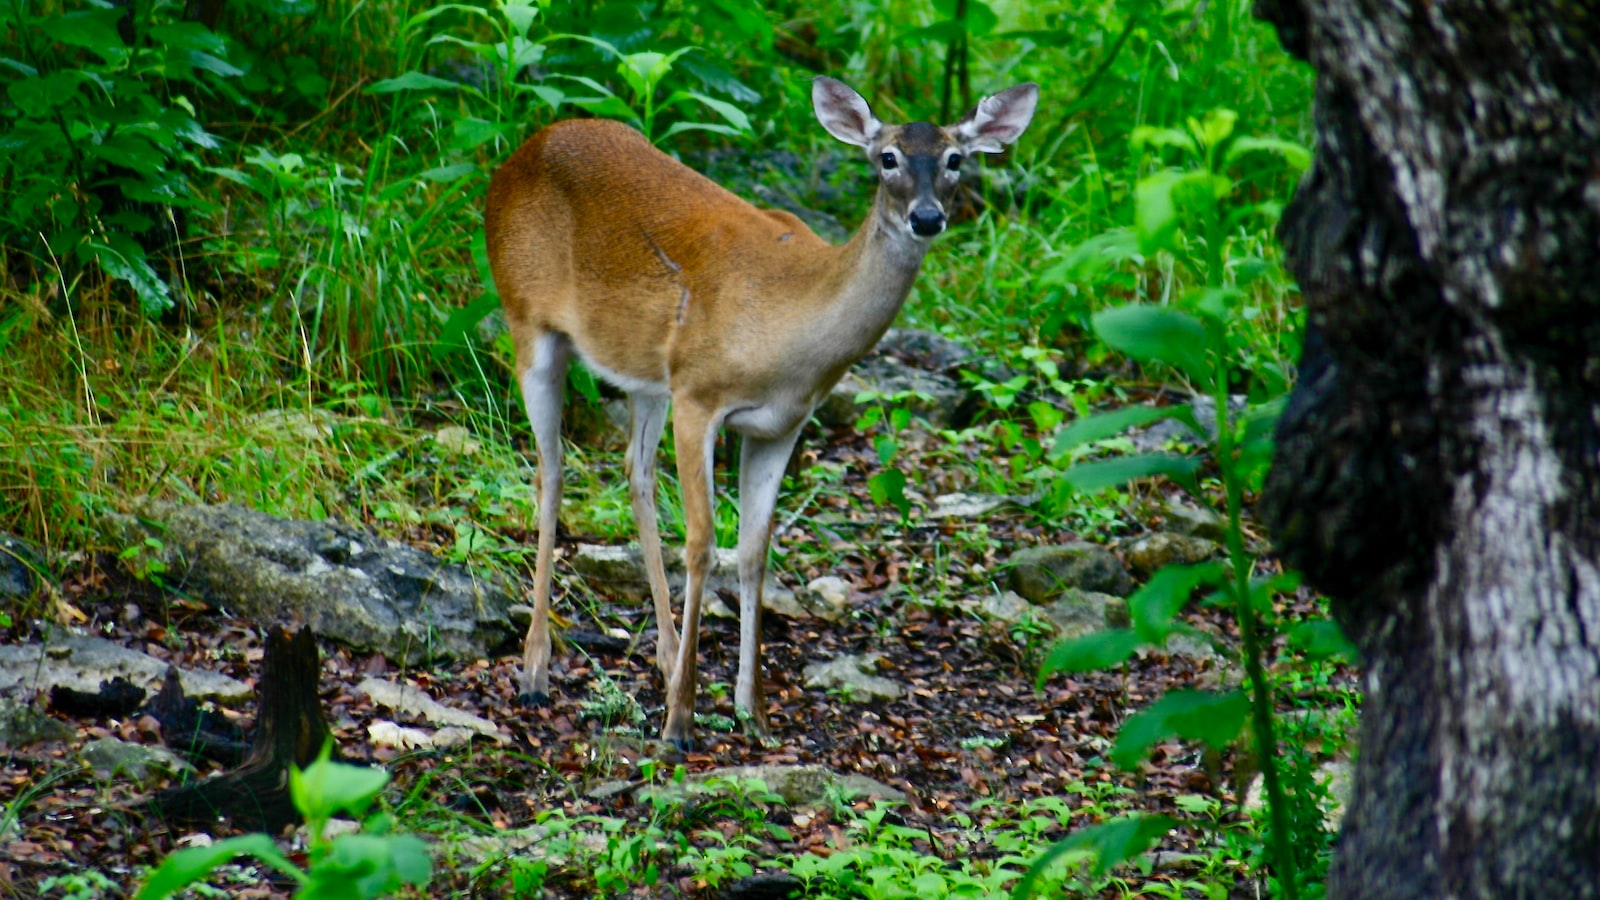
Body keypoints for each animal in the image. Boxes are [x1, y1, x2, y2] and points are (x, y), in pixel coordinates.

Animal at [483, 75, 1036, 749]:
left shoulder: (780, 425)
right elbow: (701, 545)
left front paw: (756, 711)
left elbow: (753, 554)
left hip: (644, 373)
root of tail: (518, 155)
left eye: (957, 159)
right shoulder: (699, 396)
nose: (927, 217)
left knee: (634, 473)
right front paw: (680, 721)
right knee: (551, 472)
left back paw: (664, 655)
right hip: (527, 319)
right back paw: (536, 671)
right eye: (887, 157)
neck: (788, 332)